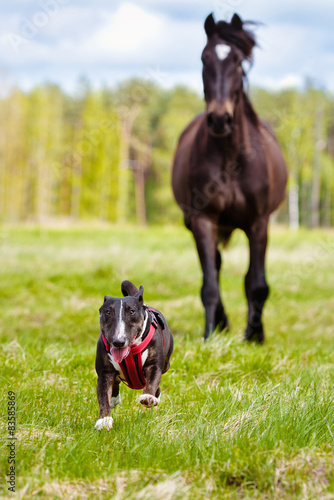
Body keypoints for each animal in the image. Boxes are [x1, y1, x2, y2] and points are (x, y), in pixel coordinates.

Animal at [172, 14, 288, 344]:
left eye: (237, 61)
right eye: (204, 58)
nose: (220, 119)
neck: (231, 159)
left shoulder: (259, 222)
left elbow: (257, 284)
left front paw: (255, 335)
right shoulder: (203, 220)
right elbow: (209, 284)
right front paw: (210, 333)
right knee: (215, 266)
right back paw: (222, 323)